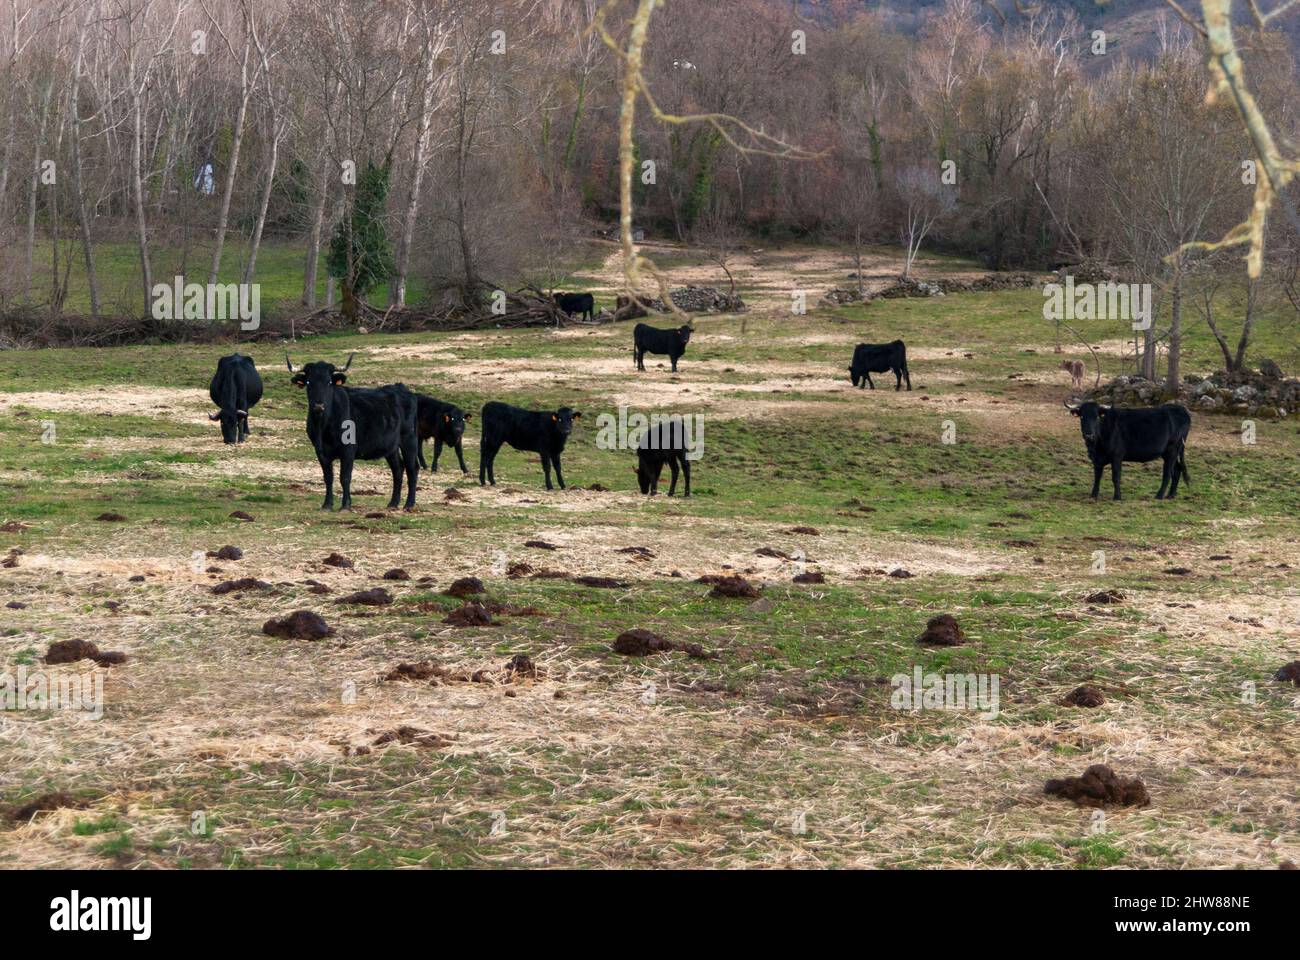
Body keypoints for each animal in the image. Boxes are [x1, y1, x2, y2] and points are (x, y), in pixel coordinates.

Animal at [287, 353, 420, 511]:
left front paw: (345, 506)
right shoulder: (320, 451)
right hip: (391, 447)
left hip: (409, 440)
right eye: (308, 382)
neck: (324, 427)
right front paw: (327, 505)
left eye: (329, 382)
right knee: (398, 469)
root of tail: (402, 389)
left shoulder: (348, 450)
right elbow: (328, 477)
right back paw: (393, 503)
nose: (319, 405)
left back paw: (409, 504)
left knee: (412, 468)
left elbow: (344, 477)